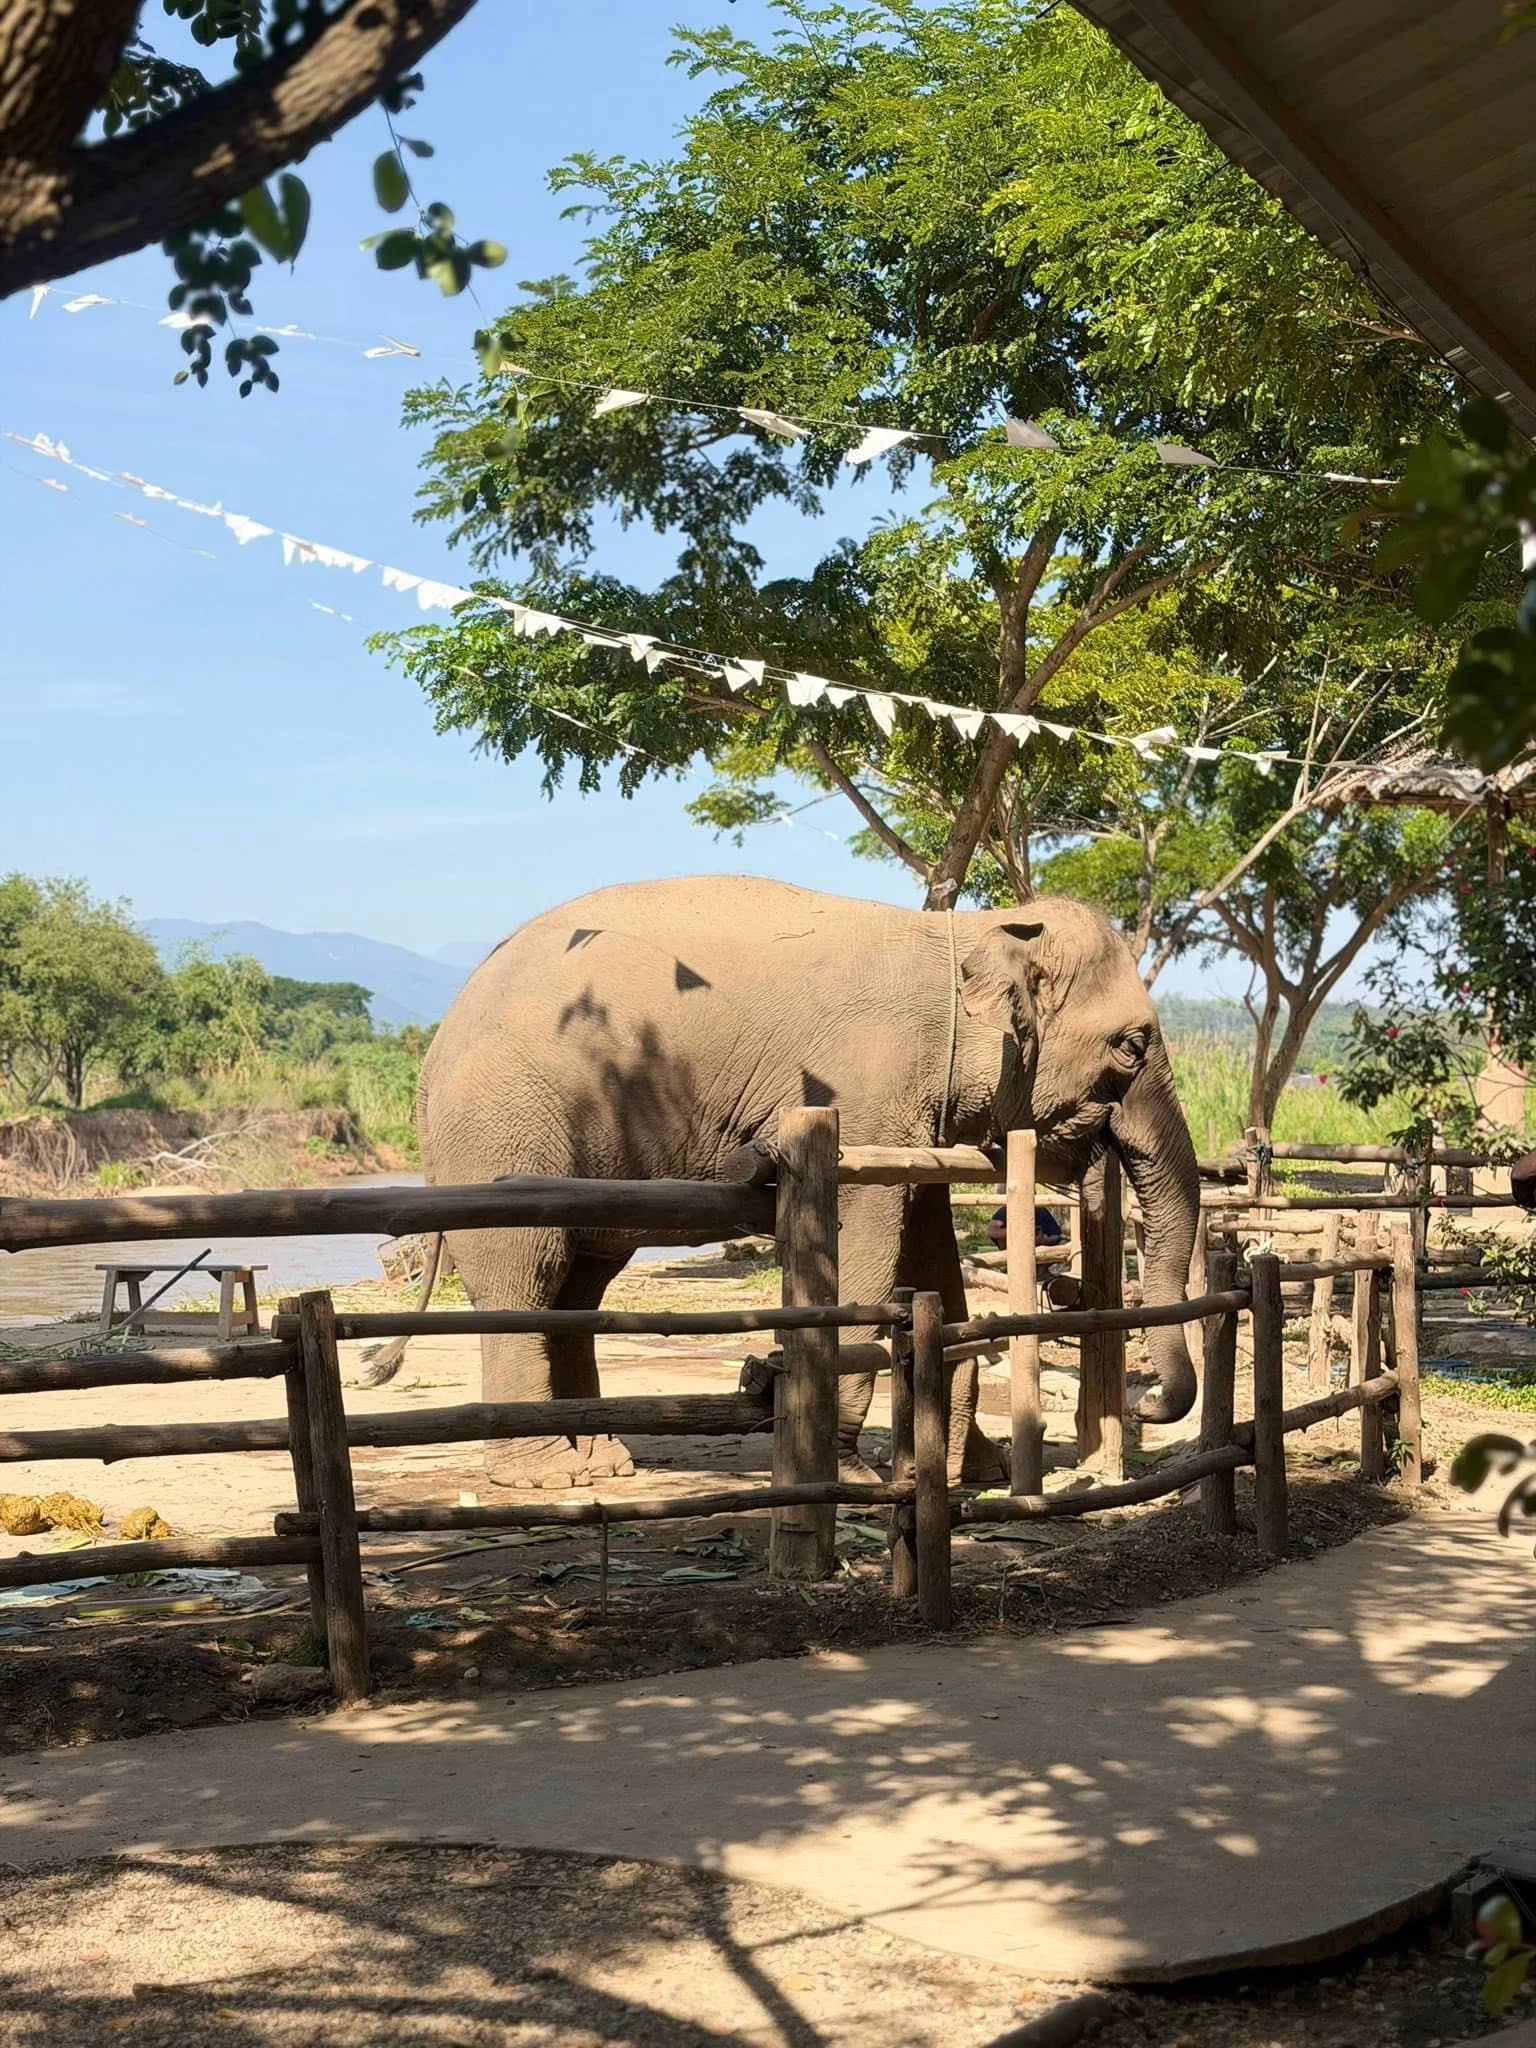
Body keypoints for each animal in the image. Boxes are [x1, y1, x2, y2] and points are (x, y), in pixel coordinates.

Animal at [368, 876, 1202, 1490]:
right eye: (1132, 1046)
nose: (1148, 1400)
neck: (969, 932)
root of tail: (431, 1055)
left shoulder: (913, 1113)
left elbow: (929, 1248)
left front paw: (974, 1470)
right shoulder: (860, 1087)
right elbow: (865, 1241)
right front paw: (851, 1477)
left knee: (580, 1282)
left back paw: (601, 1458)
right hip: (503, 1126)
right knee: (527, 1269)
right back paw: (547, 1477)